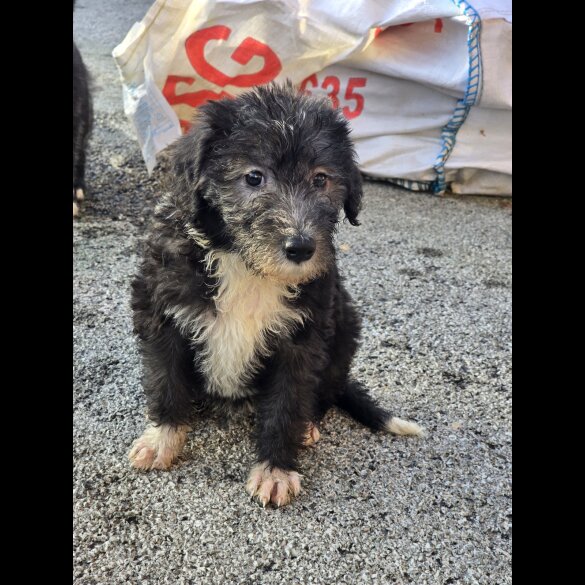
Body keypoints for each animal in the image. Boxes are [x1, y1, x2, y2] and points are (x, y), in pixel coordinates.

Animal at [129, 83, 420, 506]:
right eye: (254, 177)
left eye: (321, 179)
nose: (301, 248)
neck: (247, 265)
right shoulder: (161, 310)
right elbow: (166, 378)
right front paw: (164, 437)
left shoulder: (302, 337)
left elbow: (287, 402)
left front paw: (276, 469)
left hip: (345, 326)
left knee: (325, 391)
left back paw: (309, 426)